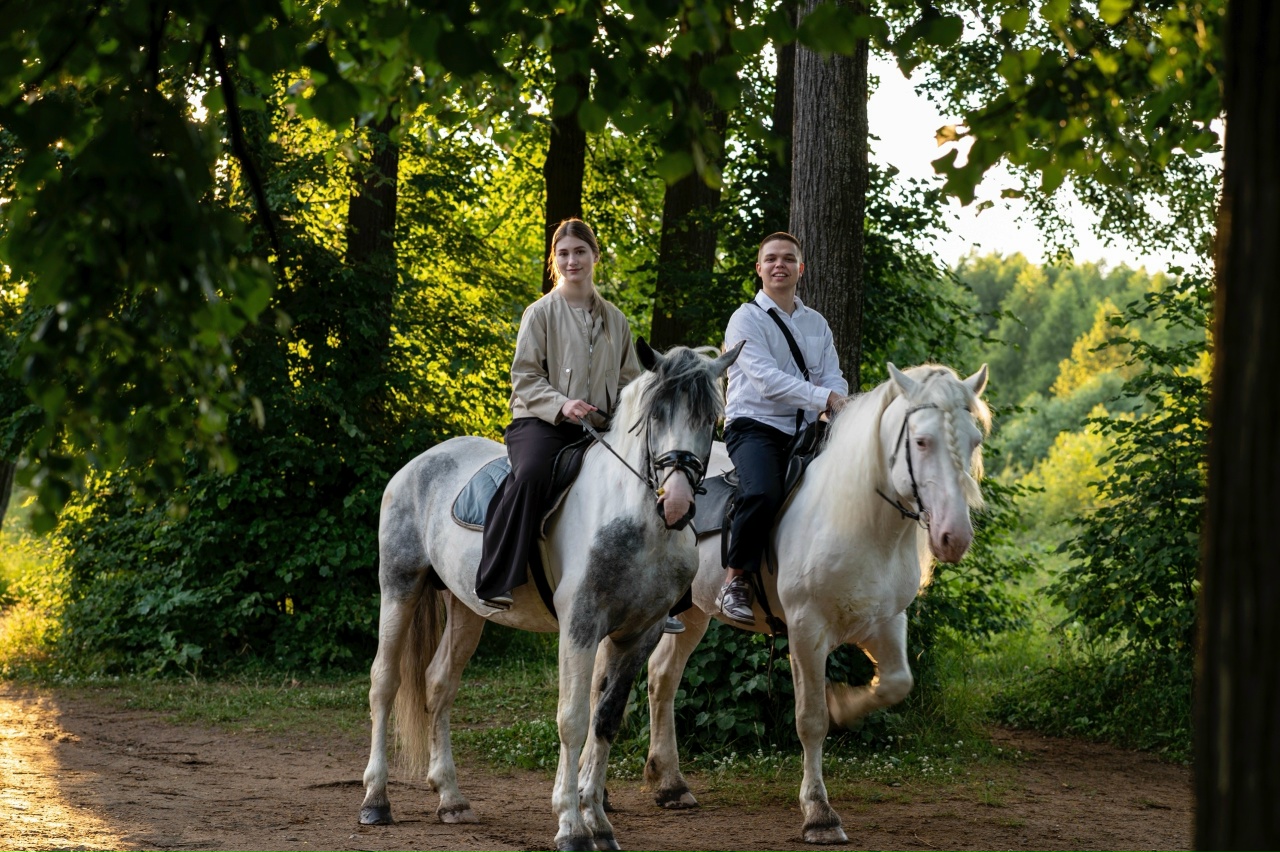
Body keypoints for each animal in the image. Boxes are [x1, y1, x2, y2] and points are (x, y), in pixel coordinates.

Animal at [358, 340, 742, 852]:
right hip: (400, 585)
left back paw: (452, 800)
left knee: (439, 684)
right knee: (384, 682)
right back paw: (376, 800)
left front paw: (598, 823)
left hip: (466, 608)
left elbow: (606, 720)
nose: (676, 502)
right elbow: (573, 720)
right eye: (656, 414)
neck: (633, 519)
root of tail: (422, 461)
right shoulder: (581, 625)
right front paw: (571, 826)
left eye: (711, 419)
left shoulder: (639, 633)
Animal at [644, 362, 990, 844]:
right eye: (921, 441)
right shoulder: (806, 629)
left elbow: (895, 683)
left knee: (662, 676)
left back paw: (670, 784)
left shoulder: (887, 622)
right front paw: (819, 814)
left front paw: (844, 702)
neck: (860, 519)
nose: (953, 537)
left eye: (974, 440)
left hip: (692, 613)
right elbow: (811, 719)